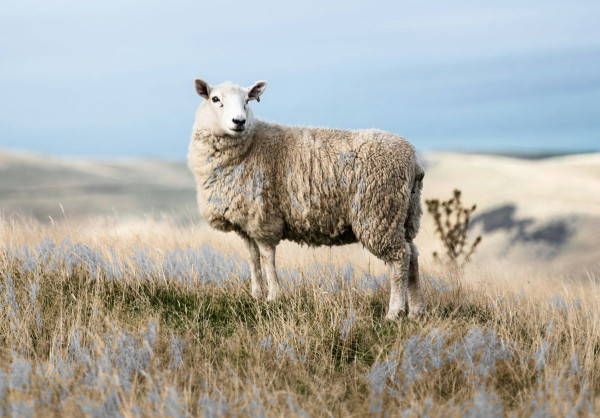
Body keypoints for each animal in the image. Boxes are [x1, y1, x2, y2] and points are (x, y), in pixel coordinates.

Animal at [189, 79, 426, 320]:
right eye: (215, 99)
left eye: (247, 100)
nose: (239, 121)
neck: (251, 145)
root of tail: (412, 159)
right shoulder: (246, 222)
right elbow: (253, 258)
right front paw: (256, 294)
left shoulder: (264, 218)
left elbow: (267, 257)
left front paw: (273, 296)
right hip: (404, 215)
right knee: (412, 255)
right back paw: (416, 311)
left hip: (379, 214)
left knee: (399, 259)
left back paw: (394, 312)